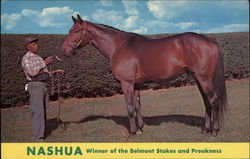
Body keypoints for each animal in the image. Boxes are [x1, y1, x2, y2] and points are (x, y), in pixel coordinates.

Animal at [61, 14, 228, 136]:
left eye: (76, 31)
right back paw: (205, 130)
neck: (118, 46)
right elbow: (137, 105)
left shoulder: (126, 83)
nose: (64, 50)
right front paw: (140, 128)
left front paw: (132, 132)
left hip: (204, 79)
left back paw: (214, 131)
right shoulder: (136, 84)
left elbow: (129, 107)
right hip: (199, 79)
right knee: (207, 102)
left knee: (214, 101)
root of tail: (211, 42)